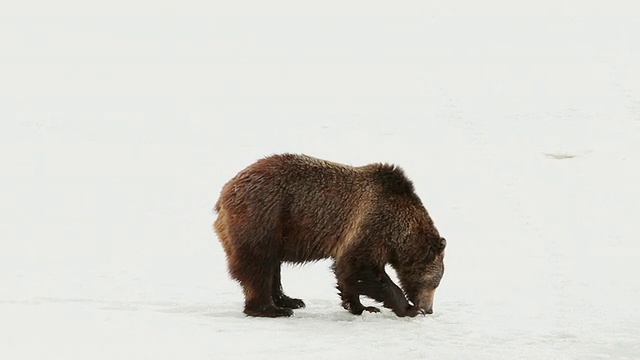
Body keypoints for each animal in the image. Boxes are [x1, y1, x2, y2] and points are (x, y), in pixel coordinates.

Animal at [215, 154, 444, 318]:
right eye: (434, 282)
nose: (429, 309)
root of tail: (225, 191)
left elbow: (348, 273)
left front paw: (362, 307)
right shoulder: (374, 223)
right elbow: (359, 267)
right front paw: (408, 308)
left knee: (272, 264)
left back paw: (289, 300)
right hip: (263, 216)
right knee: (258, 263)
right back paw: (270, 309)